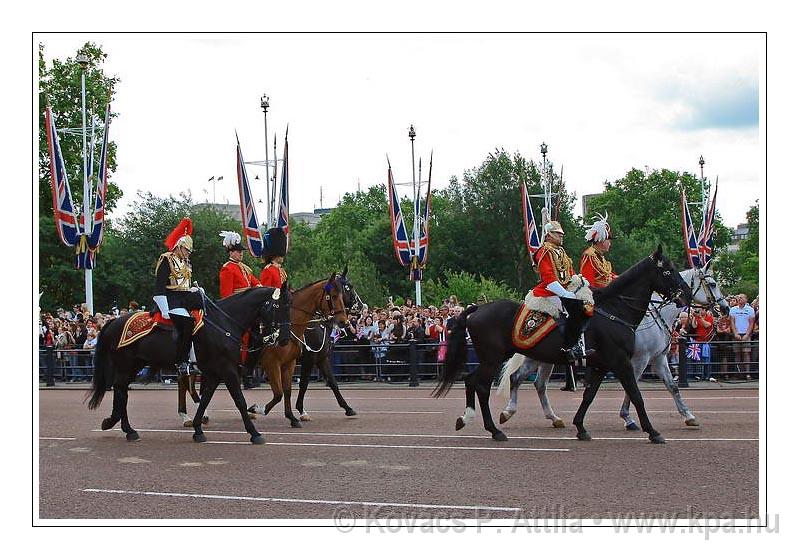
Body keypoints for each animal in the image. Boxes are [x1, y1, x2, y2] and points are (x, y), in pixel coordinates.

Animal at [86, 286, 290, 444]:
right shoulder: (228, 369)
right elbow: (239, 400)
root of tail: (114, 321)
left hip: (134, 365)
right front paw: (254, 433)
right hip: (125, 365)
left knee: (121, 391)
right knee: (121, 391)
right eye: (279, 306)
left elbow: (205, 399)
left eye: (290, 306)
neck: (223, 323)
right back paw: (125, 428)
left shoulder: (215, 373)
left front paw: (198, 429)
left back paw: (119, 425)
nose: (284, 339)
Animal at [296, 266, 368, 420]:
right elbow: (303, 384)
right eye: (348, 287)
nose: (361, 306)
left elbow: (333, 382)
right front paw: (301, 410)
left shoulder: (322, 358)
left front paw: (348, 408)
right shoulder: (309, 359)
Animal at [434, 247, 692, 444]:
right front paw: (653, 432)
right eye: (667, 270)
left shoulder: (602, 364)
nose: (687, 295)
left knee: (474, 381)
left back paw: (467, 419)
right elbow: (636, 395)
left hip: (499, 357)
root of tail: (476, 309)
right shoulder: (622, 362)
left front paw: (580, 427)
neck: (614, 311)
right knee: (482, 386)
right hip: (492, 357)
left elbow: (589, 395)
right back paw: (495, 430)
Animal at [496, 264, 728, 430]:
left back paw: (549, 417)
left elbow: (672, 386)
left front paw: (689, 416)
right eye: (713, 283)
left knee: (532, 382)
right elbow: (631, 387)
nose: (725, 308)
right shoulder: (638, 359)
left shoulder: (658, 358)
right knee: (524, 380)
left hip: (542, 357)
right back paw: (513, 412)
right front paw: (628, 418)